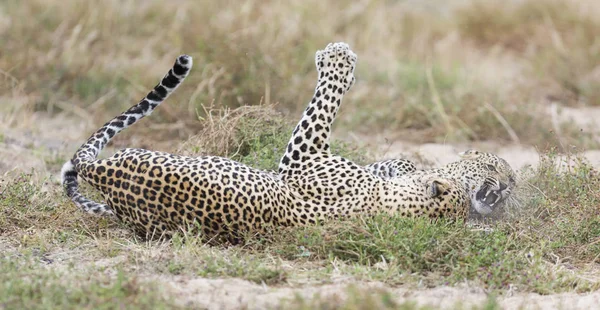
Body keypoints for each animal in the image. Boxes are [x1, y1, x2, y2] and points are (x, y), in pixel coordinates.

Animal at [61, 41, 472, 242]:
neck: (392, 207)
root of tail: (100, 171)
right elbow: (394, 163)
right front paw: (404, 164)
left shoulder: (304, 157)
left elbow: (326, 99)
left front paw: (338, 59)